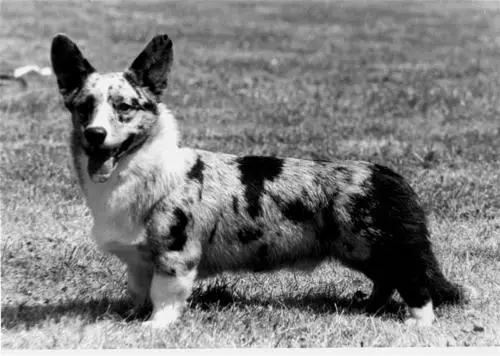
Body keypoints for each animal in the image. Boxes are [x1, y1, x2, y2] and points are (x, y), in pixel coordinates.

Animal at [50, 33, 472, 328]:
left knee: (414, 282)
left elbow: (165, 296)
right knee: (386, 281)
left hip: (379, 248)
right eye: (84, 107)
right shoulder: (138, 261)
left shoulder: (175, 255)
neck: (143, 172)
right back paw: (369, 307)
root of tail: (389, 175)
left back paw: (417, 325)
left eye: (124, 107)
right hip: (361, 251)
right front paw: (129, 317)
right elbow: (139, 291)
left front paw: (153, 328)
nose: (95, 135)